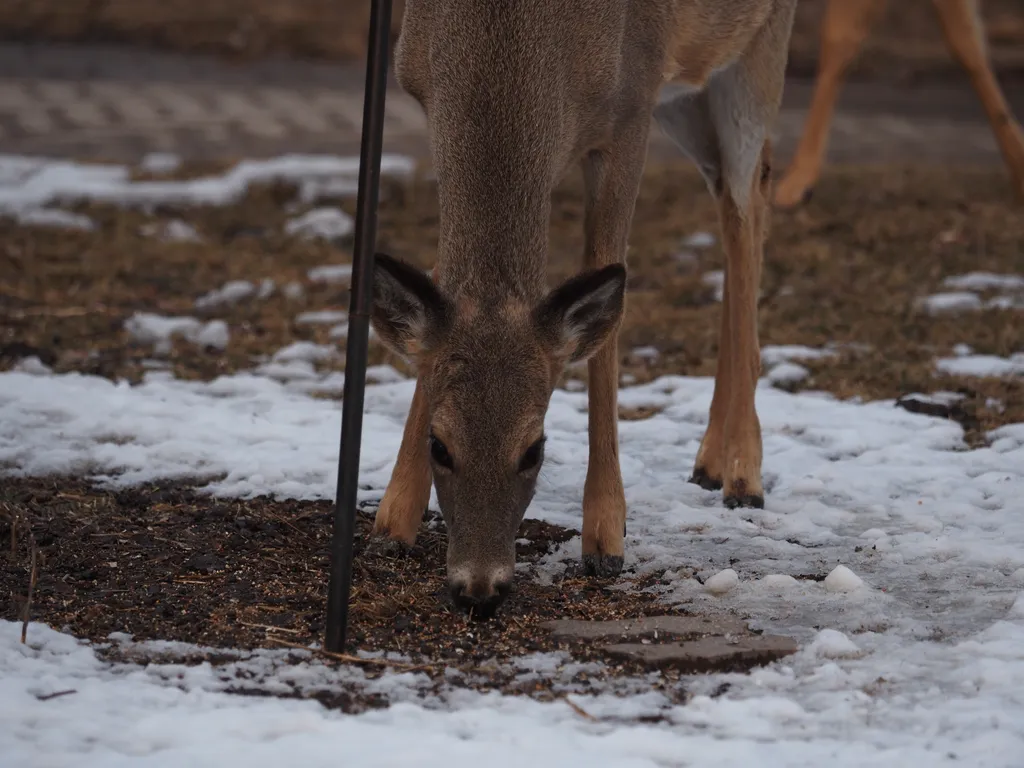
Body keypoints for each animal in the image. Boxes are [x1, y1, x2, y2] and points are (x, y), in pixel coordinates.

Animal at [368, 0, 798, 618]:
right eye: (439, 445)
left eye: (534, 450)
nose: (480, 591)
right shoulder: (419, 84)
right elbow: (441, 283)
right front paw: (393, 518)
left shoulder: (632, 106)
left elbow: (608, 295)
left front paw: (606, 537)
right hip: (689, 95)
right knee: (732, 193)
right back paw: (711, 462)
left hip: (757, 52)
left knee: (749, 199)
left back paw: (744, 473)